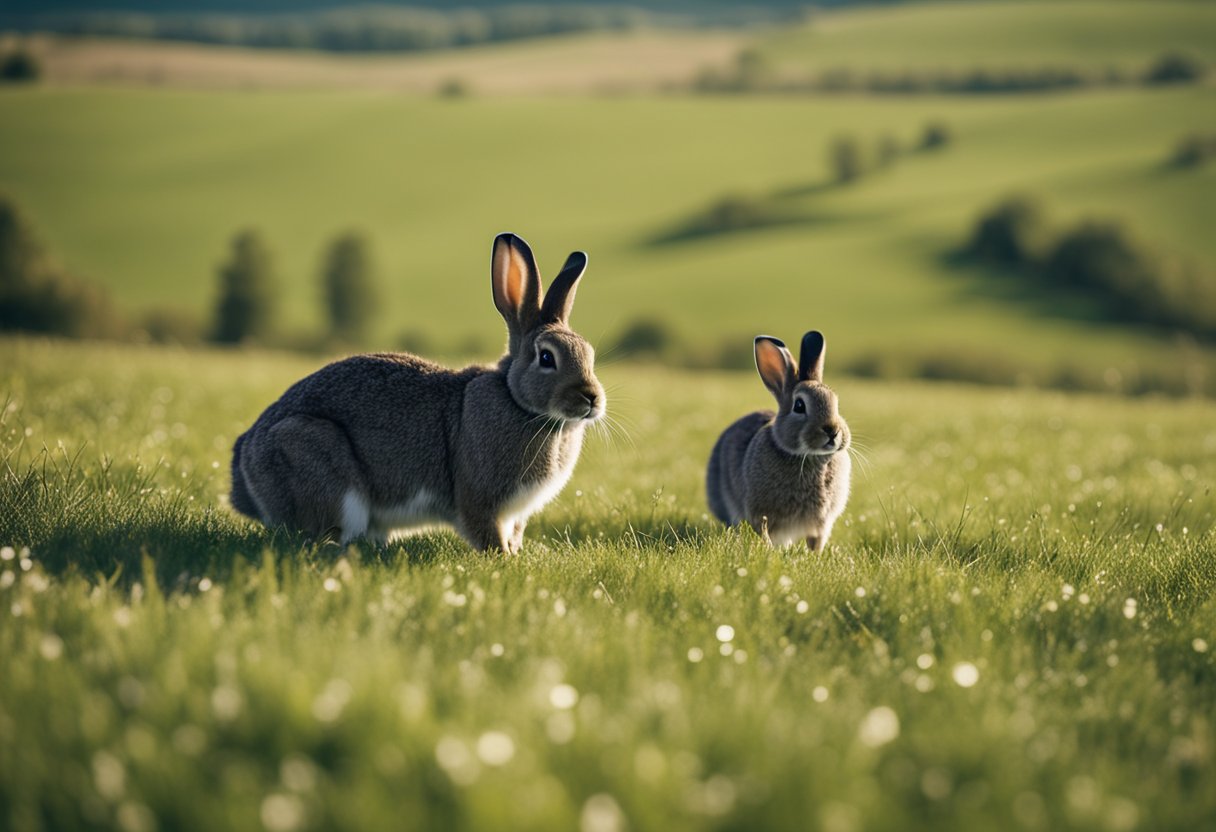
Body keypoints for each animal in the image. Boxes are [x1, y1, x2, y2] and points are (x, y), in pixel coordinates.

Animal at [226, 231, 605, 552]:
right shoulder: (479, 501)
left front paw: (515, 556)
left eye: (590, 354)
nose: (591, 398)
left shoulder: (516, 516)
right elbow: (488, 536)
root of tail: (244, 469)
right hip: (321, 468)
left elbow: (513, 536)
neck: (518, 402)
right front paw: (504, 562)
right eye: (546, 357)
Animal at [710, 330, 851, 552]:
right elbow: (764, 531)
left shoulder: (822, 522)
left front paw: (815, 556)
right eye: (799, 406)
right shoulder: (761, 513)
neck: (809, 456)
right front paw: (768, 551)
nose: (832, 431)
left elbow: (816, 541)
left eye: (836, 404)